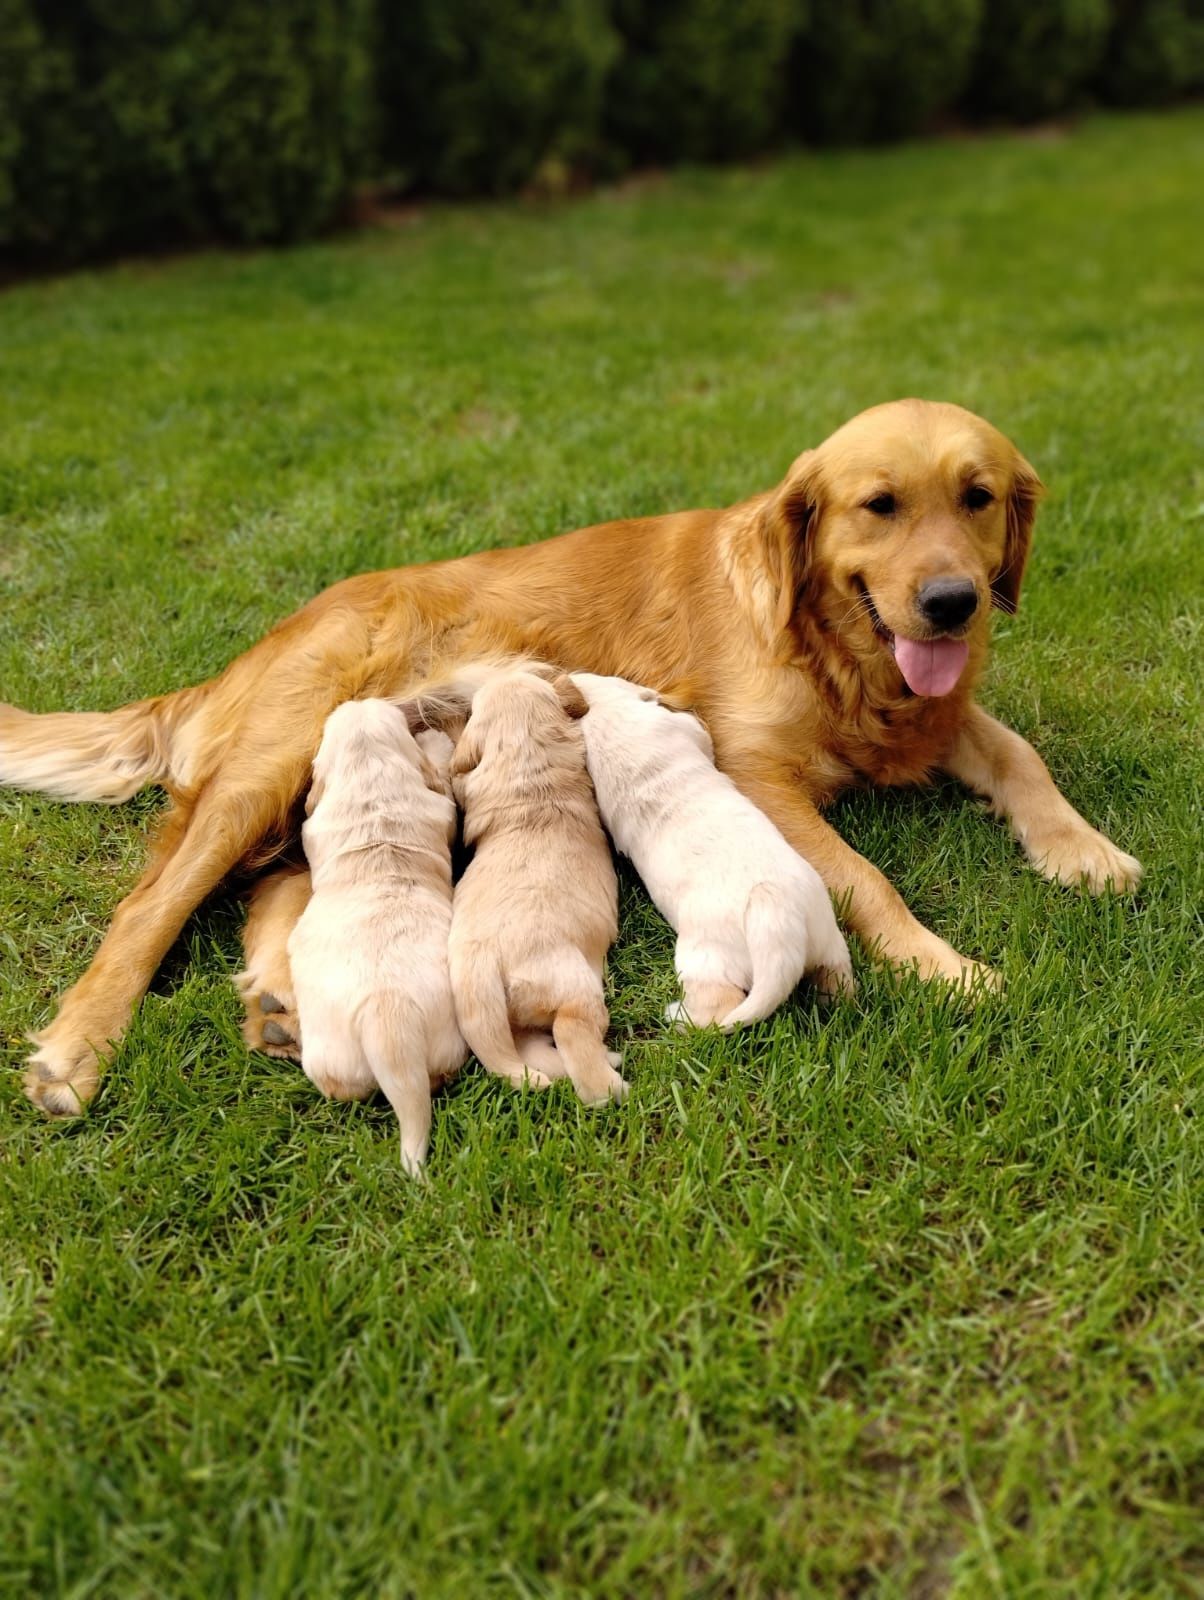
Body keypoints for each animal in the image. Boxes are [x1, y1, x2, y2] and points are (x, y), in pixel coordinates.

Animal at [448, 668, 624, 1107]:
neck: (528, 777)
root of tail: (482, 966)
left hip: (514, 1017)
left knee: (530, 1050)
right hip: (573, 985)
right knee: (572, 1034)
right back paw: (609, 1088)